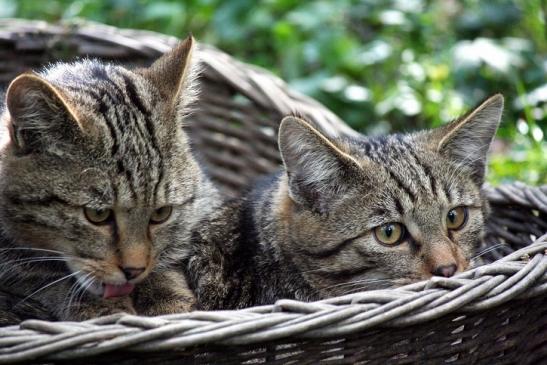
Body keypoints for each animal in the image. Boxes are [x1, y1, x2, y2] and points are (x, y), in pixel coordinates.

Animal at [0, 35, 220, 322]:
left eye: (161, 213)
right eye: (97, 215)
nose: (134, 271)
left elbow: (166, 262)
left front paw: (168, 303)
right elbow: (44, 277)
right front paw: (101, 308)